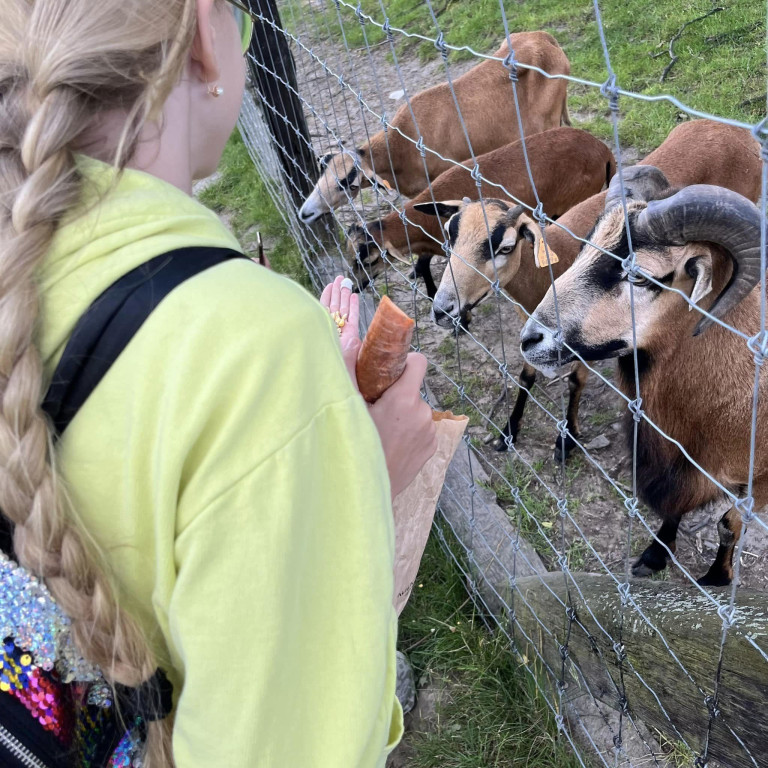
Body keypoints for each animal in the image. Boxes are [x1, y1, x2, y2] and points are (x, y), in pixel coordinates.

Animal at [296, 33, 568, 225]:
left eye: (347, 183)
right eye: (322, 173)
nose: (305, 214)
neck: (400, 146)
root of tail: (545, 38)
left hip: (547, 123)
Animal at [426, 117, 760, 460]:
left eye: (505, 247)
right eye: (450, 234)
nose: (442, 308)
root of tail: (732, 129)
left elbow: (574, 381)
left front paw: (566, 440)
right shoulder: (530, 328)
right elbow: (526, 374)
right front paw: (508, 432)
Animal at [520, 165, 764, 584]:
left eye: (638, 276)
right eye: (585, 248)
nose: (530, 339)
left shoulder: (759, 482)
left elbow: (728, 526)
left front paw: (715, 578)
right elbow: (673, 509)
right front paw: (654, 556)